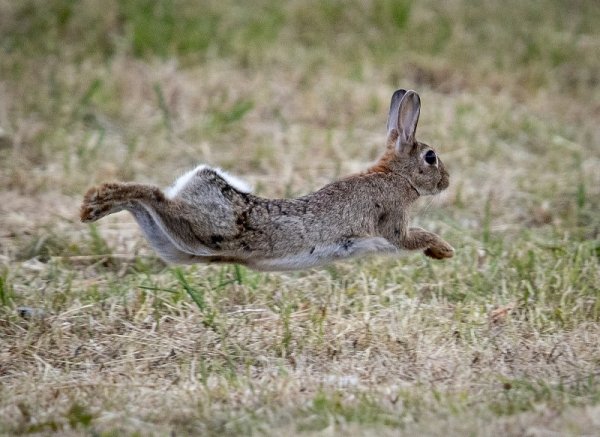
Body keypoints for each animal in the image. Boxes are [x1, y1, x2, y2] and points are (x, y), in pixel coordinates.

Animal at [81, 88, 454, 270]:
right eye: (430, 157)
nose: (447, 181)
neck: (395, 175)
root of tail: (199, 180)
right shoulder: (393, 223)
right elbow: (414, 237)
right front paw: (444, 249)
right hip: (201, 227)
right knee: (154, 195)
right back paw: (94, 201)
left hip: (176, 244)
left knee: (145, 204)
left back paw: (95, 204)